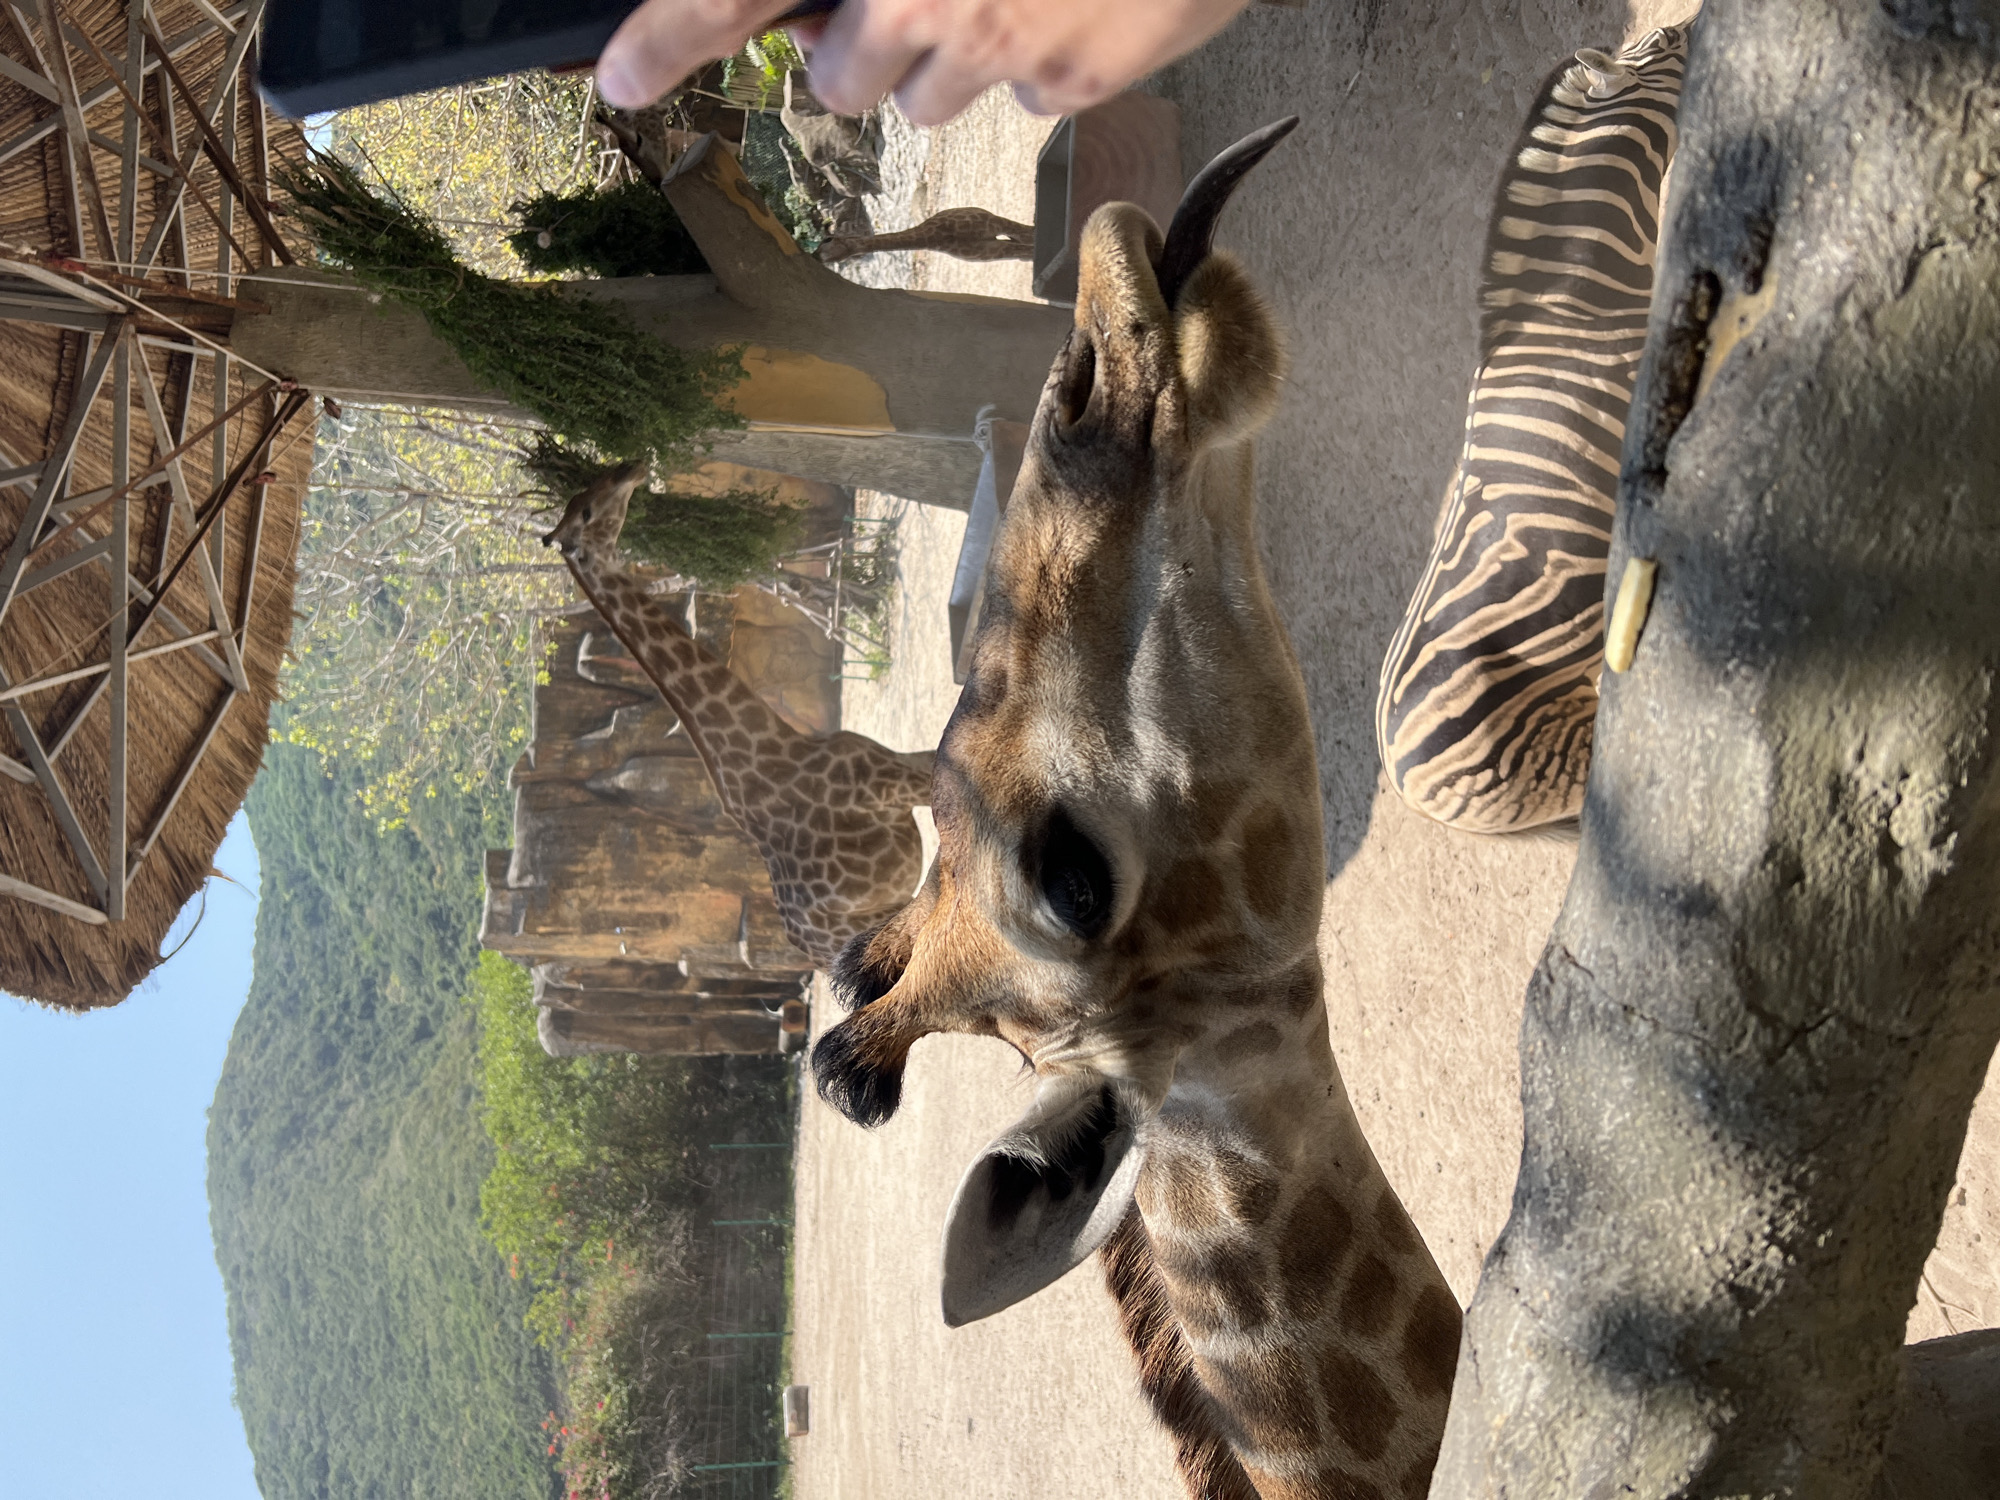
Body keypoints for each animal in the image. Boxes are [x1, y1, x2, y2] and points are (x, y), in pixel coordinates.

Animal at [541, 467, 934, 969]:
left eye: (585, 498)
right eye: (589, 512)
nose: (633, 468)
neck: (773, 746)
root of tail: (809, 947)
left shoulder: (903, 764)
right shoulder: (893, 783)